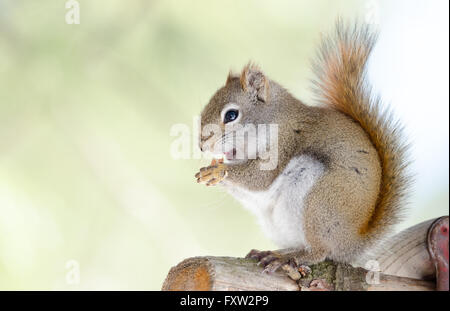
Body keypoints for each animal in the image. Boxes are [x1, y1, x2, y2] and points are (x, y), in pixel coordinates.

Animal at [195, 22, 410, 274]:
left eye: (231, 115)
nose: (201, 145)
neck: (275, 120)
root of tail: (352, 242)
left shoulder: (285, 144)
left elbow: (260, 179)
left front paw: (218, 171)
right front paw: (210, 171)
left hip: (319, 205)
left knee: (320, 251)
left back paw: (287, 258)